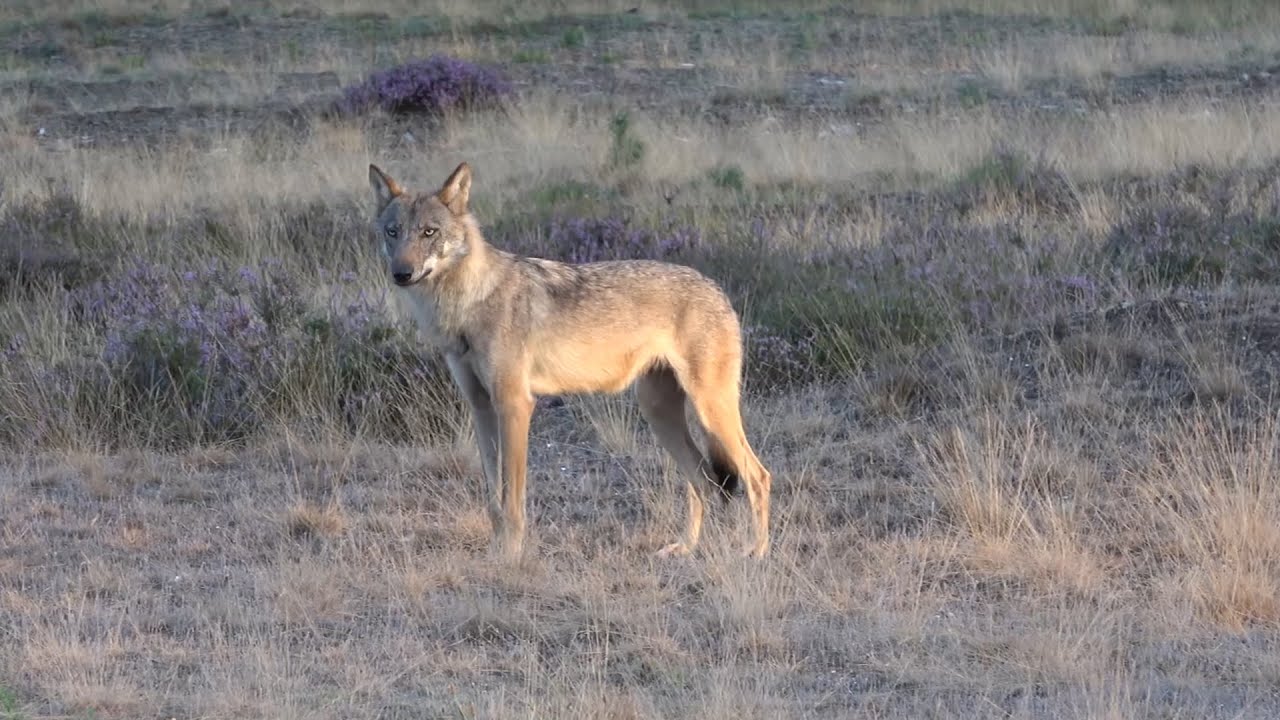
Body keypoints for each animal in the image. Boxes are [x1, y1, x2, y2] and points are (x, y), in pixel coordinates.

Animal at [367, 161, 772, 559]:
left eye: (429, 232)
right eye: (393, 232)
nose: (401, 273)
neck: (467, 305)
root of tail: (717, 289)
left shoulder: (515, 406)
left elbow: (512, 502)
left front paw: (510, 559)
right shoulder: (481, 407)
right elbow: (494, 501)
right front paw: (495, 555)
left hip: (709, 410)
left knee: (757, 476)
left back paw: (756, 551)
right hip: (660, 414)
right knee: (702, 479)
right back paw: (685, 548)